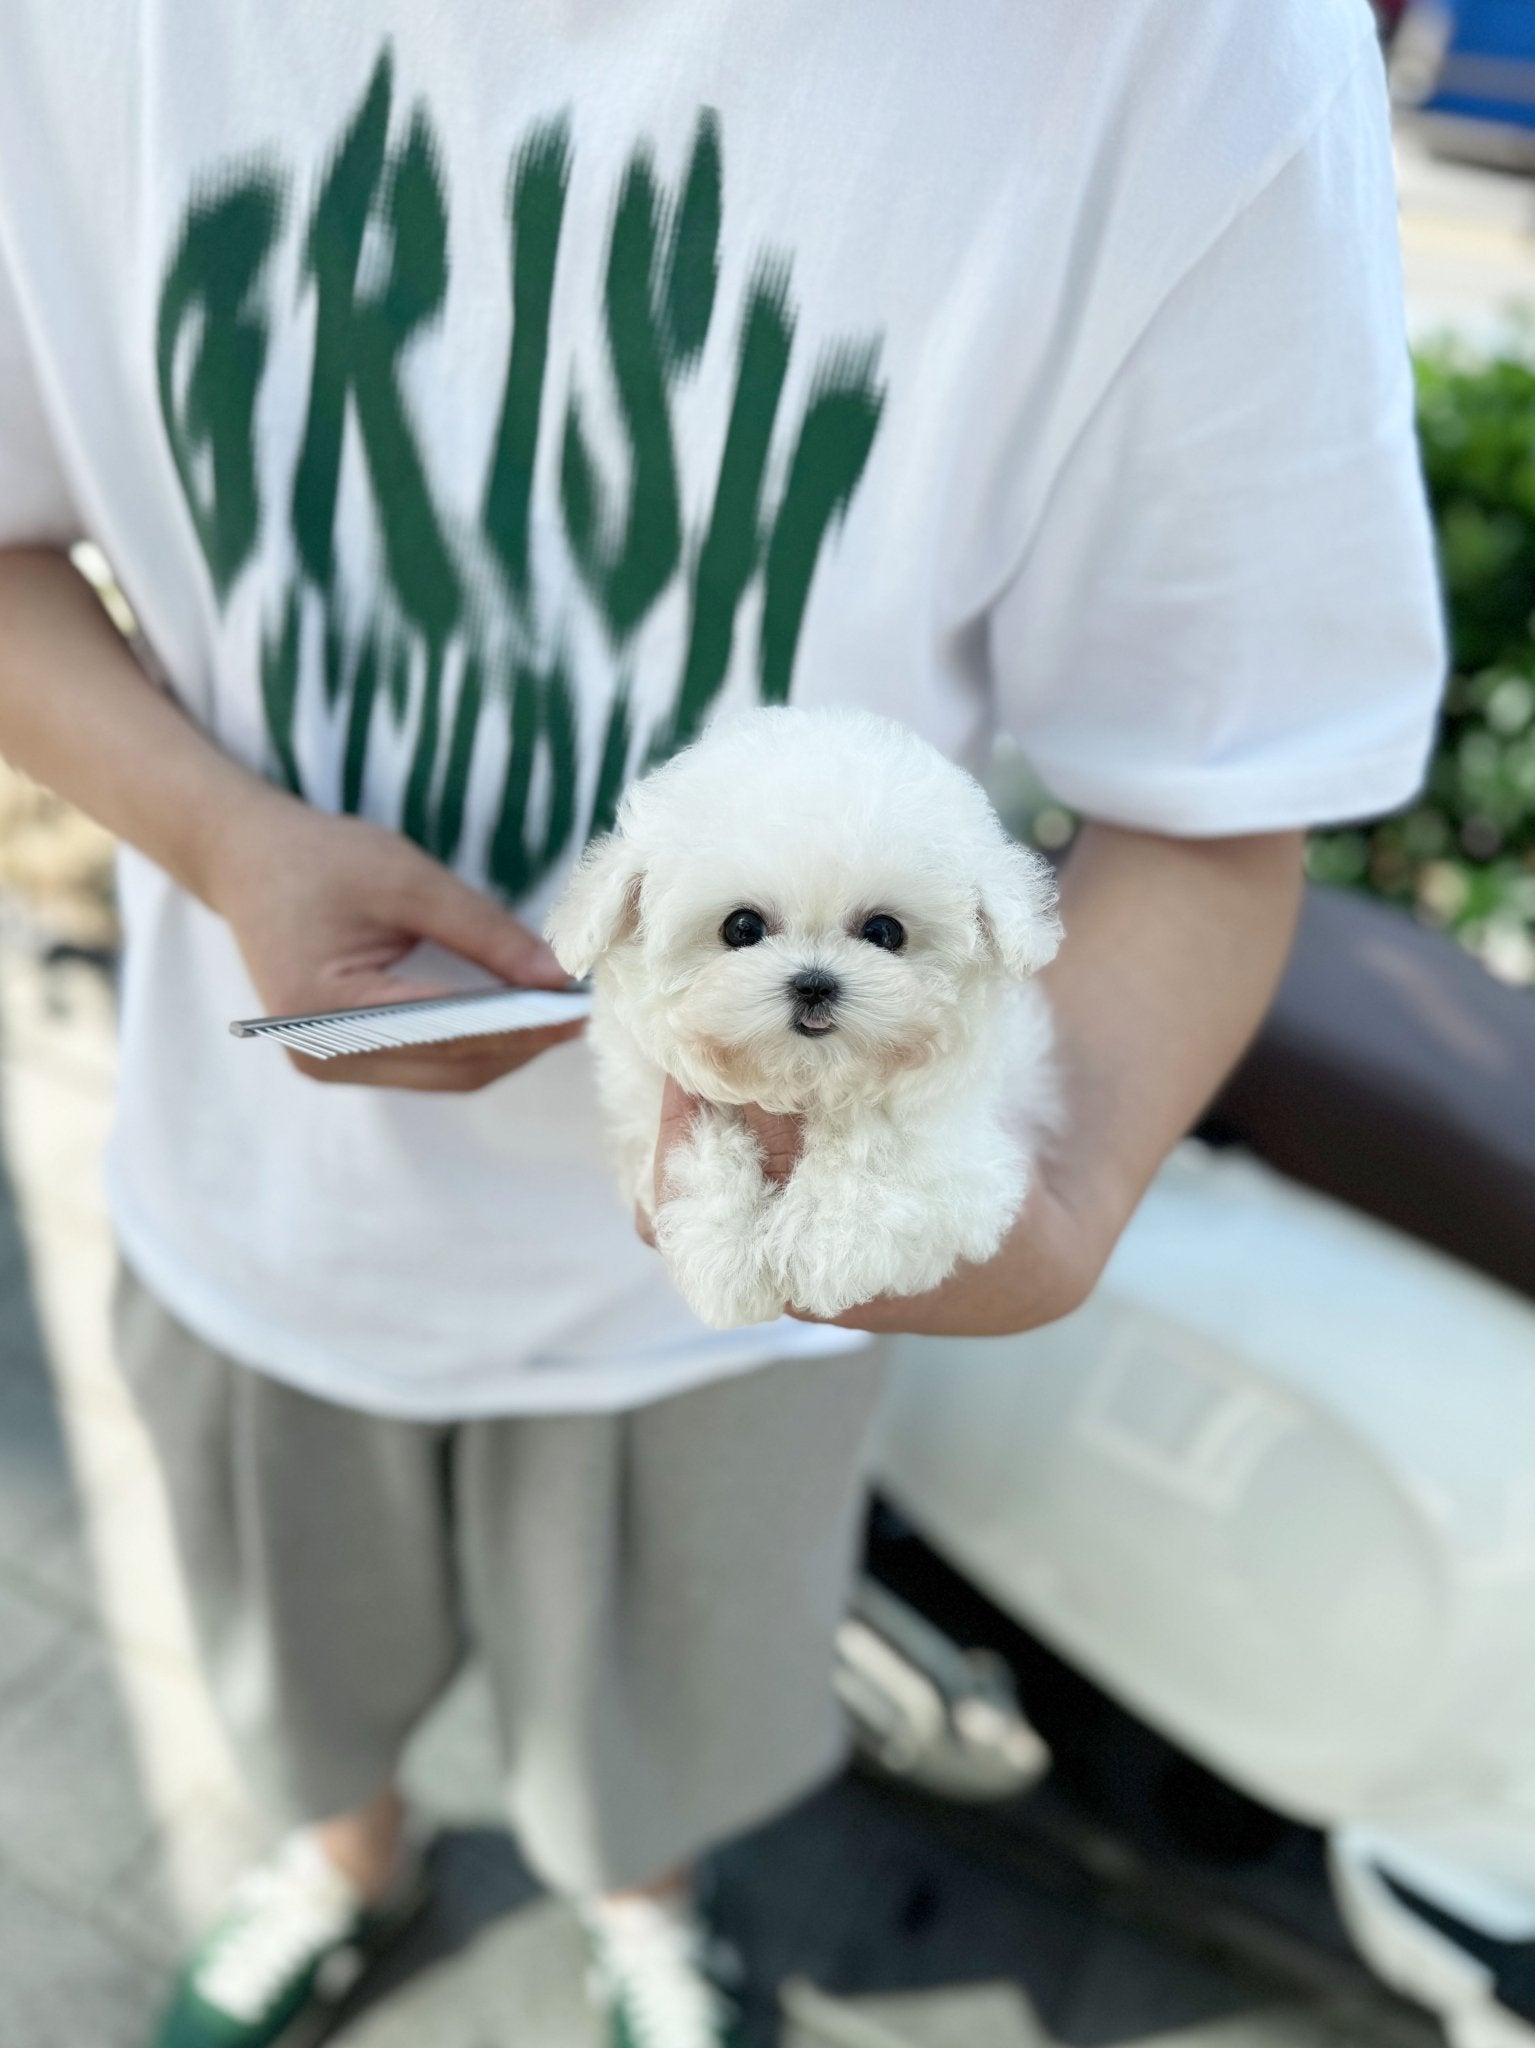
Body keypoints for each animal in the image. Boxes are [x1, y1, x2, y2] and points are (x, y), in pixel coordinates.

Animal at [548, 712, 1064, 1335]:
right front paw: (723, 1256)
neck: (806, 1078)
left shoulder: (966, 1156)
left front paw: (830, 1244)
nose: (815, 982)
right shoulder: (647, 1101)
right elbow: (698, 1142)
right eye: (741, 927)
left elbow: (877, 1144)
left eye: (884, 932)